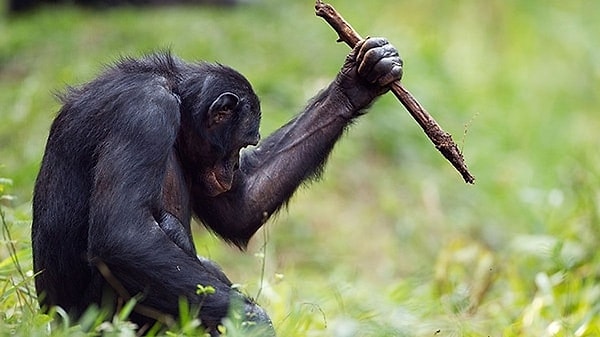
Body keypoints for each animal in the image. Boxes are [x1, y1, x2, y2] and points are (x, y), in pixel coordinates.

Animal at [30, 37, 400, 334]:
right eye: (241, 143)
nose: (233, 165)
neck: (175, 94)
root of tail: (53, 320)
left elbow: (242, 208)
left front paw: (358, 81)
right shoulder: (145, 115)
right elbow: (124, 234)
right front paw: (253, 323)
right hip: (99, 320)